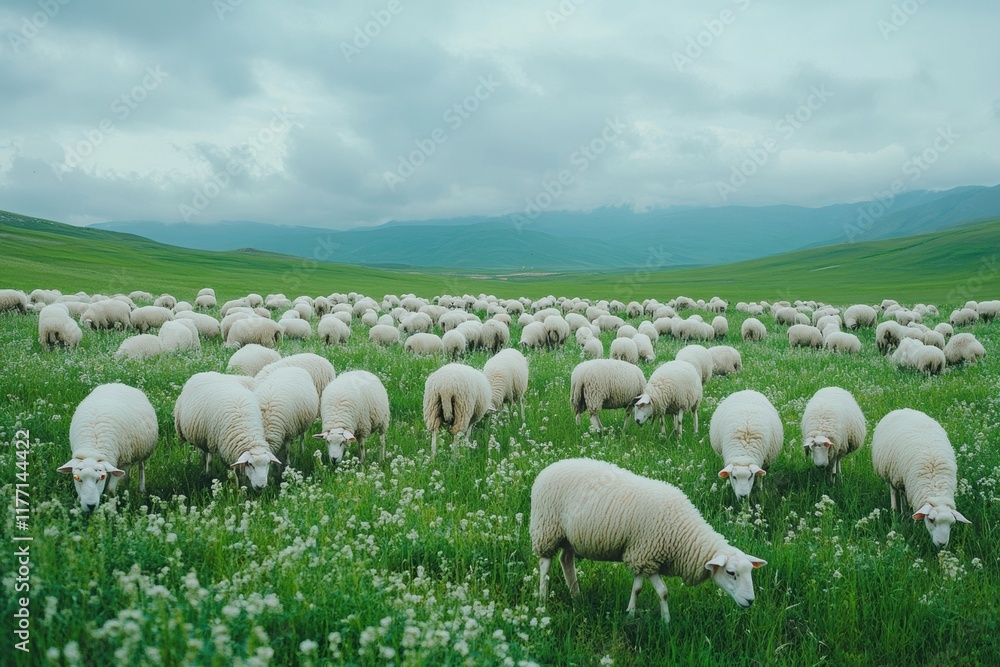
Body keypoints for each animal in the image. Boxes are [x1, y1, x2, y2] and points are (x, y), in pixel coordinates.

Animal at [530, 458, 766, 623]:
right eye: (731, 573)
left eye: (750, 572)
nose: (750, 601)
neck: (683, 533)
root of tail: (549, 467)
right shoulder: (646, 556)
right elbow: (661, 591)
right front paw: (662, 620)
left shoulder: (642, 555)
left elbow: (640, 588)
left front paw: (635, 613)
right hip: (546, 529)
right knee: (545, 564)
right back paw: (542, 598)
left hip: (569, 536)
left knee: (566, 560)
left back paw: (576, 595)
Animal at [871, 409, 971, 548]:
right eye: (931, 520)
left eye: (952, 524)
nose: (942, 544)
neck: (935, 483)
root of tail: (903, 409)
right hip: (893, 474)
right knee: (895, 492)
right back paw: (896, 510)